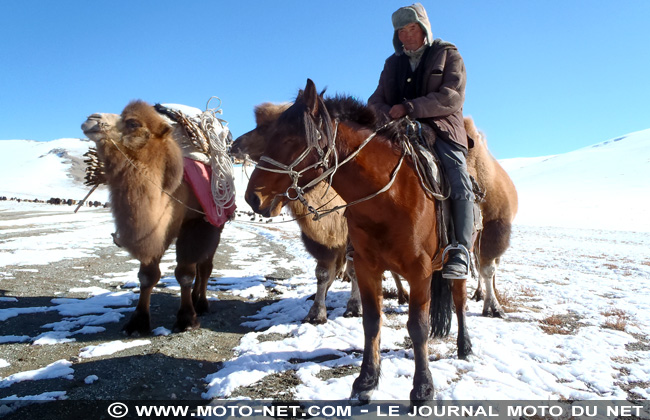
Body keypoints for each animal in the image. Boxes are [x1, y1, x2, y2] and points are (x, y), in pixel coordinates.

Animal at [81, 101, 224, 334]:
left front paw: (187, 319)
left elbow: (185, 273)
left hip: (213, 224)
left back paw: (201, 304)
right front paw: (137, 322)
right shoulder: (154, 231)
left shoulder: (192, 224)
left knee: (204, 266)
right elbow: (147, 275)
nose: (91, 118)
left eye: (133, 123)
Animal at [243, 80, 466, 402]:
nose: (252, 197)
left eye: (289, 138)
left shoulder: (420, 271)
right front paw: (366, 380)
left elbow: (418, 326)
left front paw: (423, 387)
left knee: (459, 301)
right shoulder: (366, 266)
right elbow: (371, 321)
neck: (388, 198)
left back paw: (465, 346)